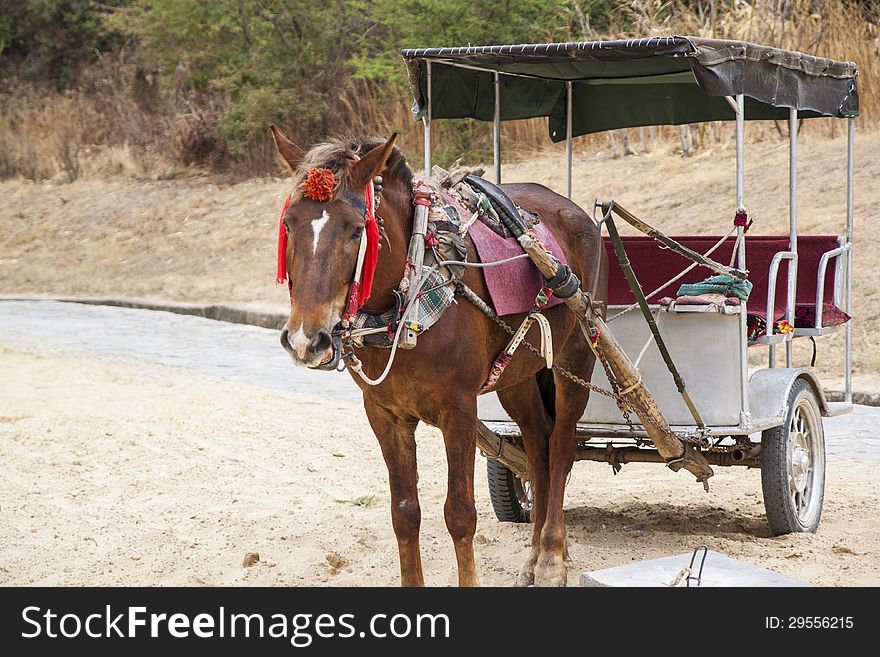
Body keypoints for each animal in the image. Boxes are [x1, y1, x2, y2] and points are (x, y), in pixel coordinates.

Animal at [272, 124, 608, 584]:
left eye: (356, 230)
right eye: (289, 225)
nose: (308, 339)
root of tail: (573, 210)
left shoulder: (459, 410)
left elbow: (460, 514)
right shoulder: (384, 414)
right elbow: (404, 513)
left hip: (576, 354)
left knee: (560, 448)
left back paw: (553, 556)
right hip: (517, 373)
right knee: (537, 448)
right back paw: (535, 552)